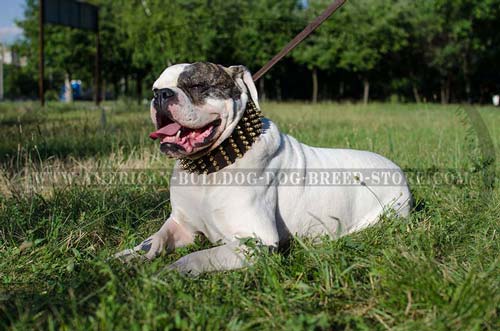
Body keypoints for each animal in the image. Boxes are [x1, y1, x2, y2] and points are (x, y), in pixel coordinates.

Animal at [115, 62, 412, 274]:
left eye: (197, 85)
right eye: (154, 88)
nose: (160, 95)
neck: (208, 167)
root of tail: (396, 168)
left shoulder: (256, 243)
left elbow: (197, 257)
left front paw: (167, 272)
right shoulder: (181, 225)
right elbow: (155, 239)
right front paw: (127, 257)